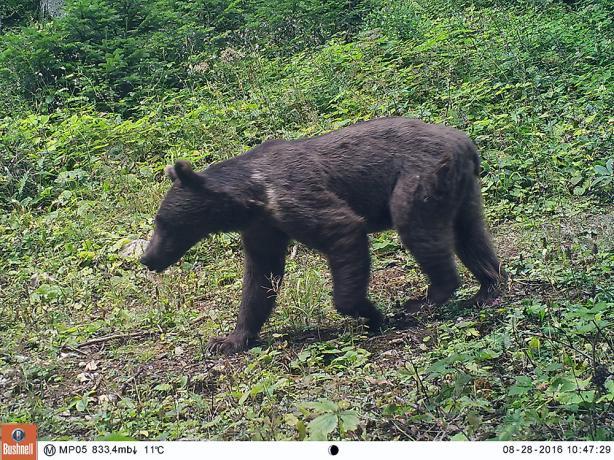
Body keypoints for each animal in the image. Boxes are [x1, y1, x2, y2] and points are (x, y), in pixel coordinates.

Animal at [143, 117, 506, 354]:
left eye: (163, 222)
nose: (147, 258)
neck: (252, 197)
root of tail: (465, 142)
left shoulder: (294, 198)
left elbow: (342, 229)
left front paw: (370, 313)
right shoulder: (264, 227)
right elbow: (260, 278)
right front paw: (228, 339)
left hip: (419, 180)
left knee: (419, 230)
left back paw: (425, 300)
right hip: (463, 190)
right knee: (471, 234)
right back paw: (488, 286)